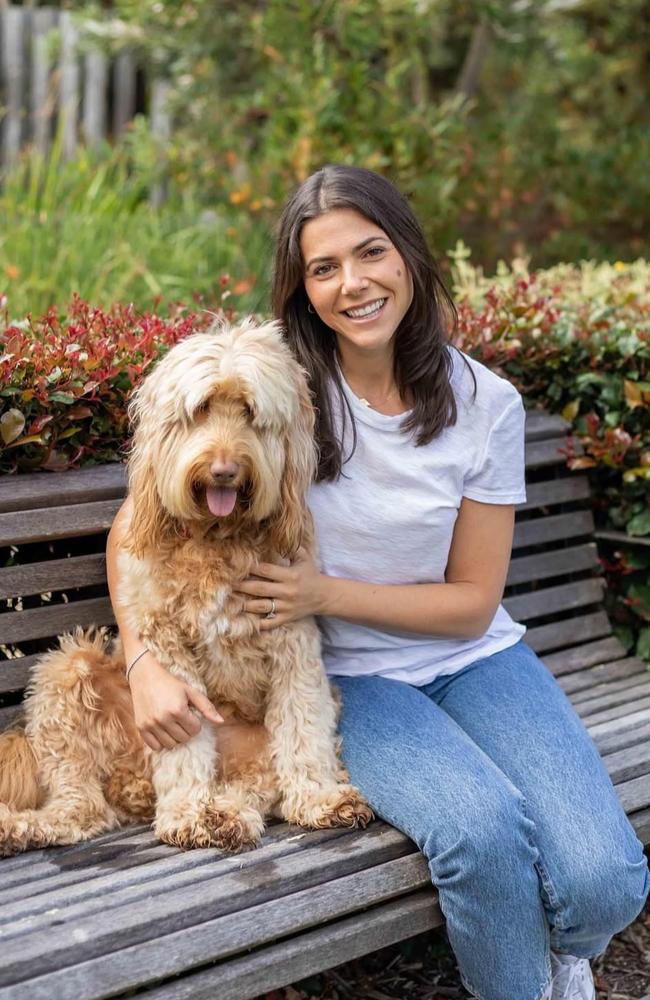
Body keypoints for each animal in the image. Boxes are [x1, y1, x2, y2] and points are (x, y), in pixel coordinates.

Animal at [0, 320, 370, 852]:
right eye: (200, 410)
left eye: (250, 413)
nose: (224, 470)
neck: (216, 539)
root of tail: (132, 790)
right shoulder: (167, 654)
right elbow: (185, 743)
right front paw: (190, 812)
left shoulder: (292, 639)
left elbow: (304, 721)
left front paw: (319, 795)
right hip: (65, 675)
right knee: (79, 808)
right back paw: (20, 826)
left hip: (253, 759)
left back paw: (228, 812)